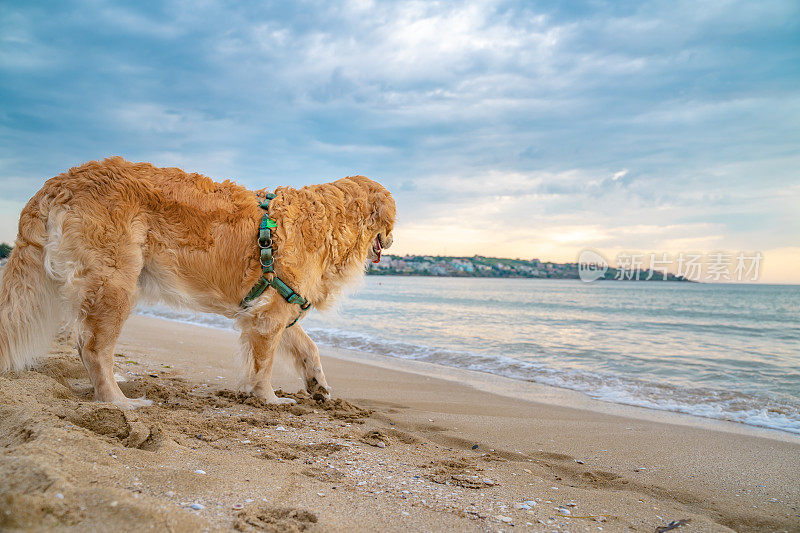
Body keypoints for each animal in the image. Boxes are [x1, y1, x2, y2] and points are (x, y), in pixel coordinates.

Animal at [0, 157, 394, 408]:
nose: (390, 241)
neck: (331, 220)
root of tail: (58, 182)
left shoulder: (278, 304)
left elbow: (309, 348)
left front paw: (318, 386)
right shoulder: (268, 317)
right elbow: (262, 366)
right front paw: (268, 399)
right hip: (115, 283)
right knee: (93, 347)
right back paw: (119, 402)